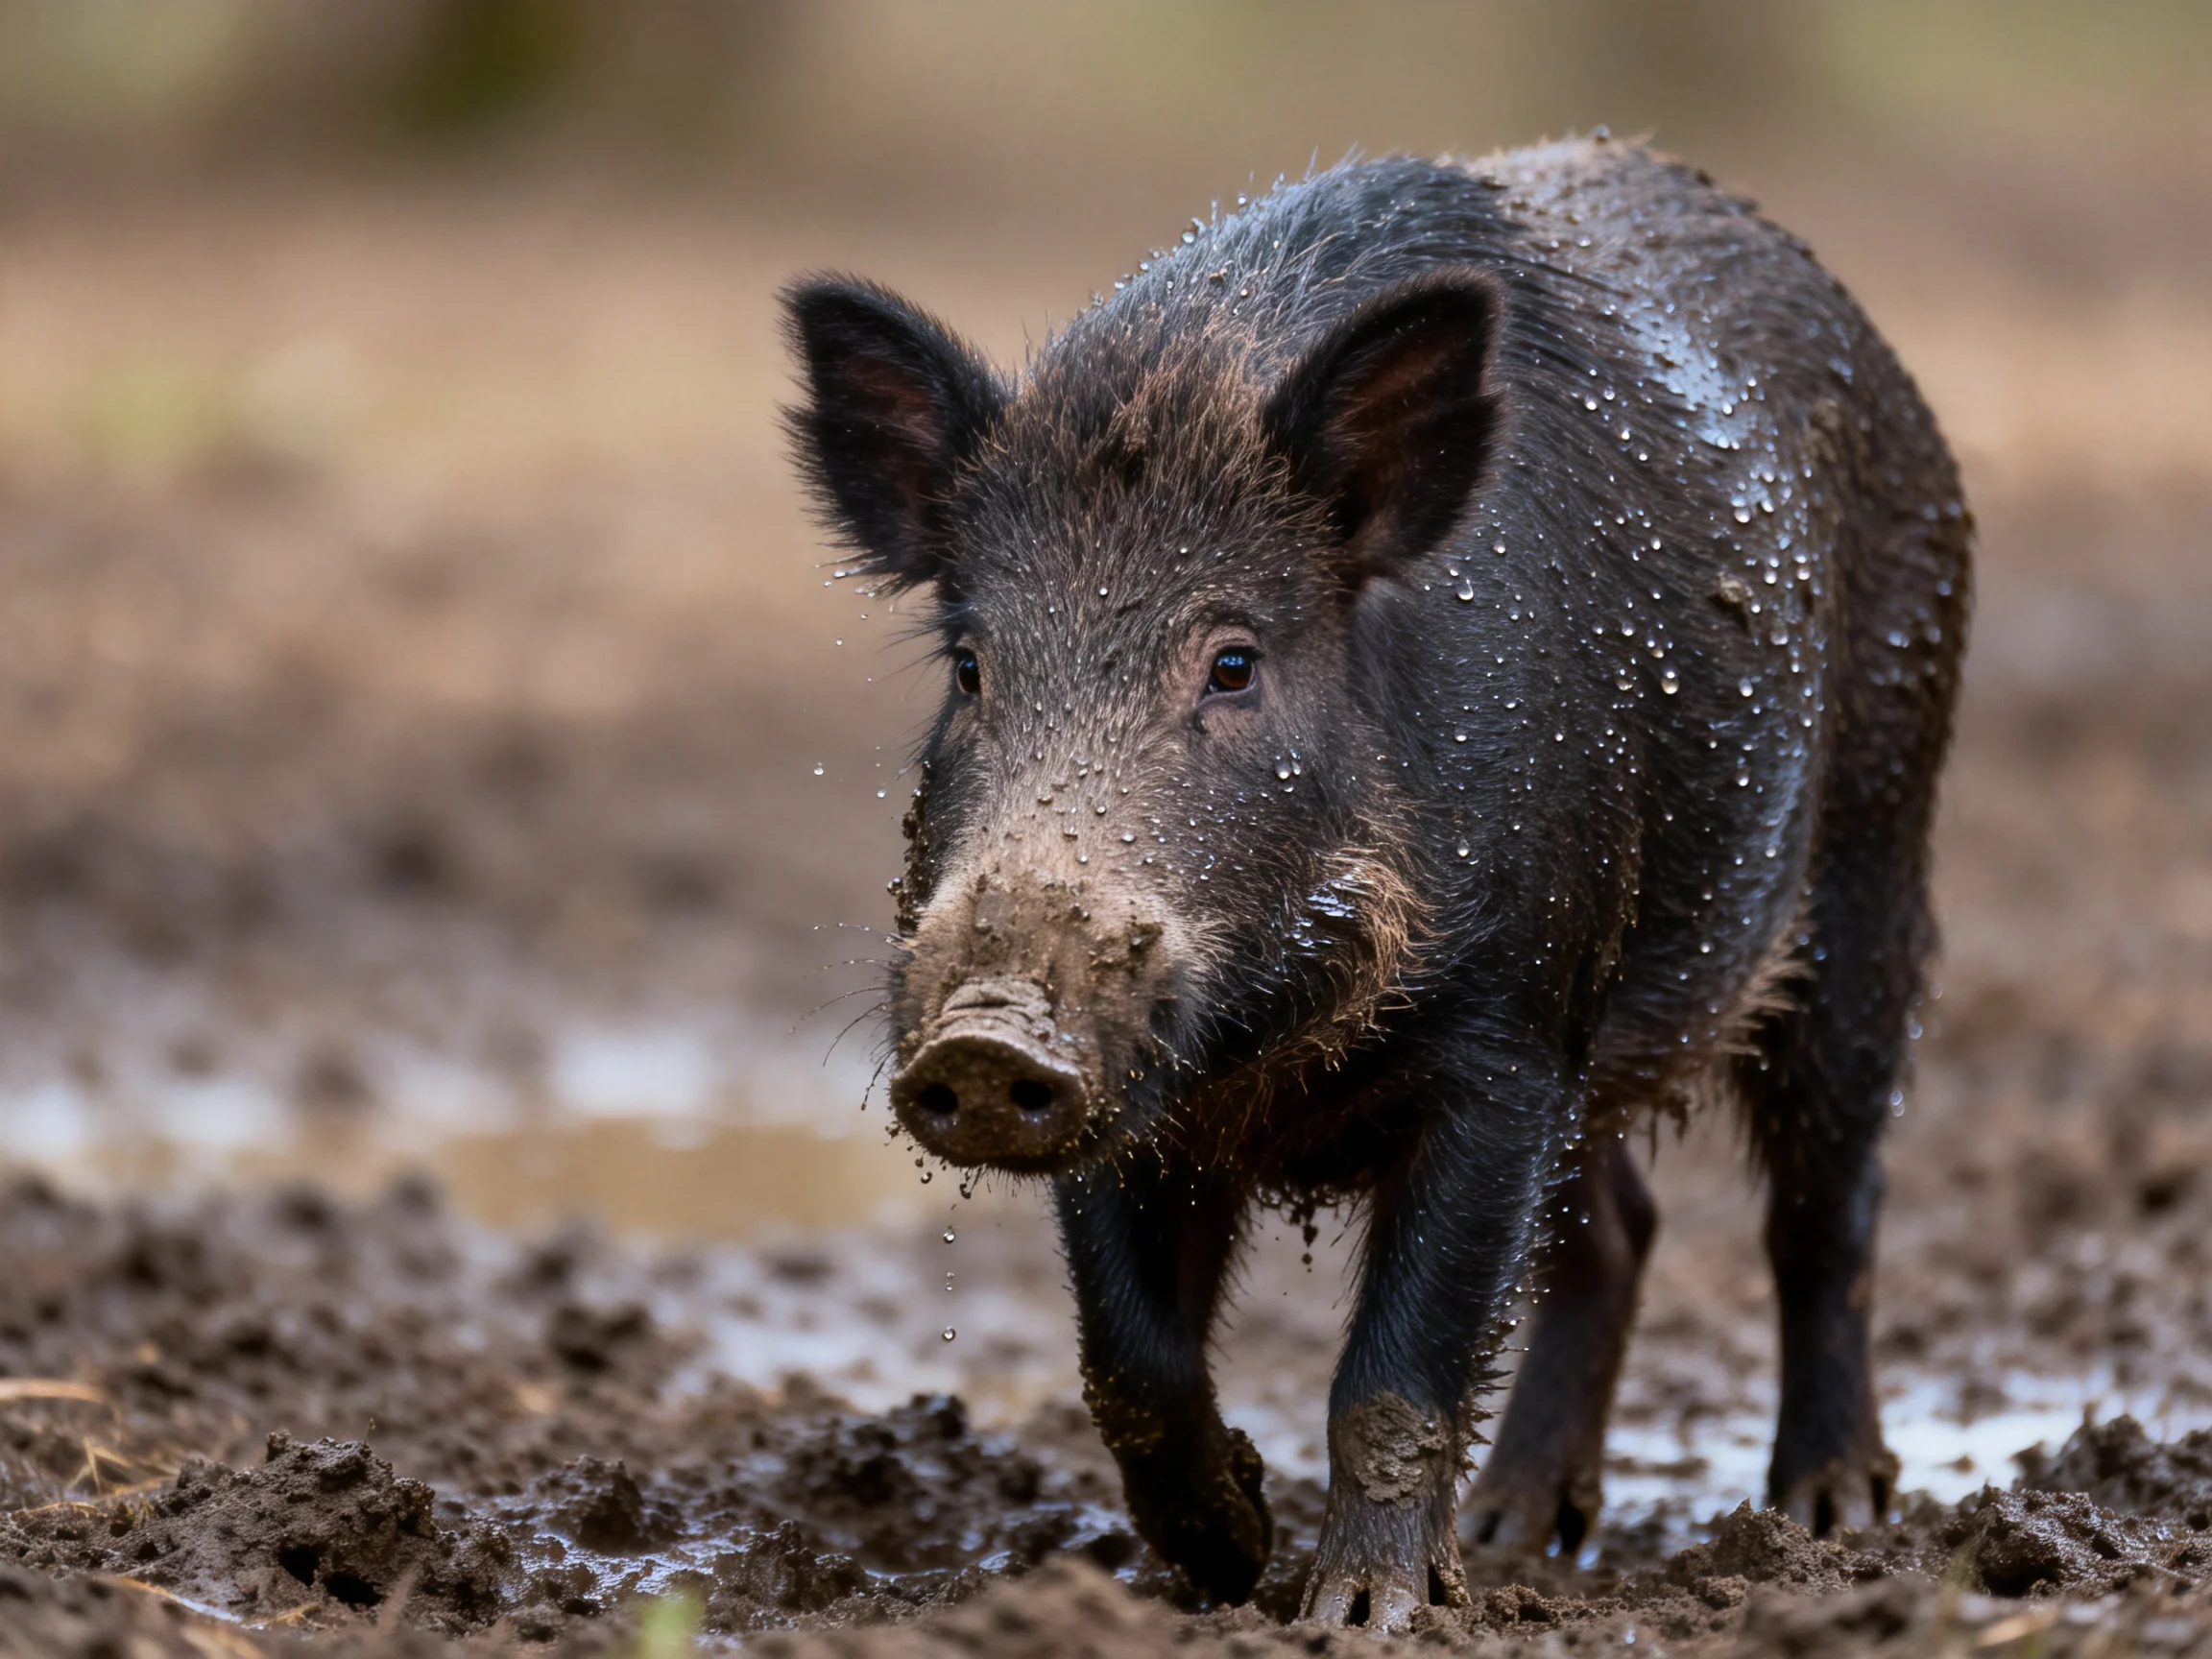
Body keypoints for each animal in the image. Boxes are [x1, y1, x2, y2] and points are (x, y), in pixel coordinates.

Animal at [782, 136, 1969, 1629]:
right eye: (971, 665)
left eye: (1233, 661)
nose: (989, 1036)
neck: (1272, 1054)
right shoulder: (1140, 1084)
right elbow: (1130, 1364)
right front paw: (1226, 1559)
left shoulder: (1508, 1037)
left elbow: (1396, 1374)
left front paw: (1361, 1616)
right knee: (1618, 1231)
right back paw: (1523, 1535)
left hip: (1876, 855)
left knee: (1827, 1208)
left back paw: (1827, 1517)